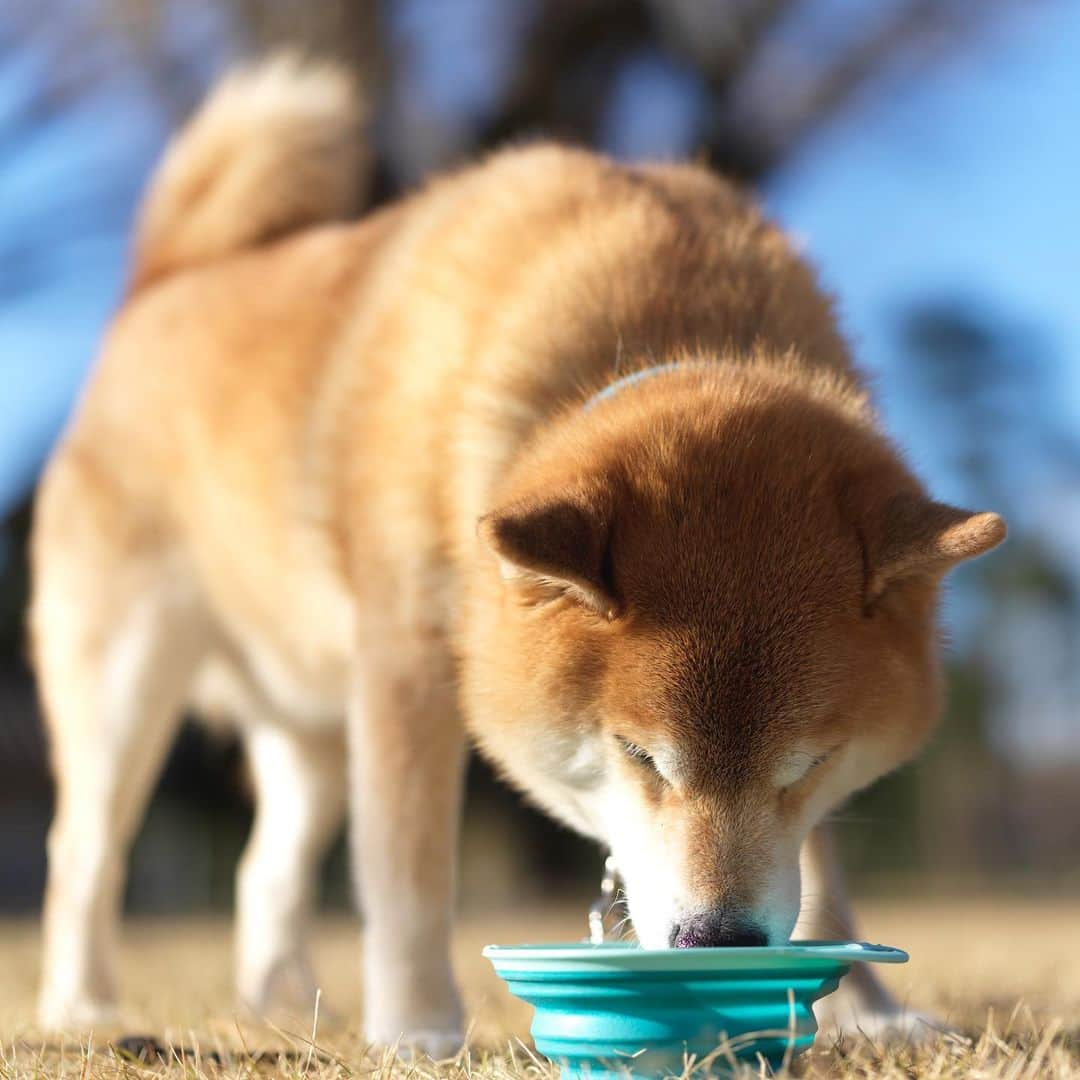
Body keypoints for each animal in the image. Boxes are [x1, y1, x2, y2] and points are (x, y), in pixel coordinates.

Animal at [29, 59, 1002, 1054]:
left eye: (808, 763)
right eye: (641, 756)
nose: (719, 940)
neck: (656, 331)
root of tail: (163, 281)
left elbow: (822, 871)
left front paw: (870, 1012)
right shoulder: (406, 668)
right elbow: (408, 876)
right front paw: (417, 1028)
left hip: (315, 725)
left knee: (262, 869)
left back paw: (283, 1004)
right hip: (129, 682)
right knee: (84, 851)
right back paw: (82, 1006)